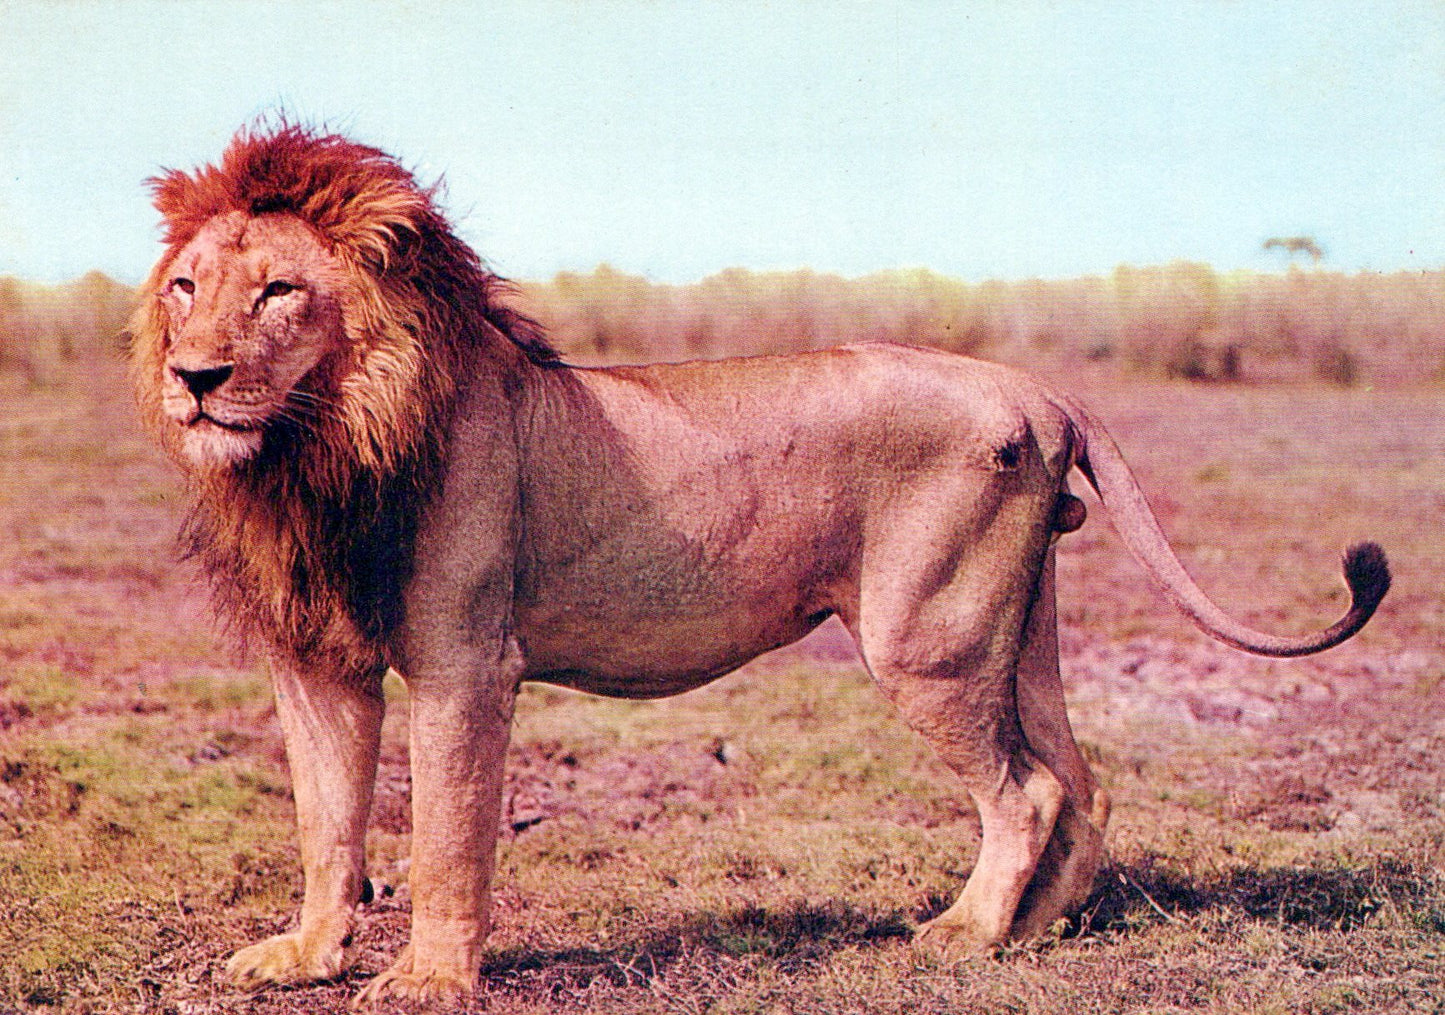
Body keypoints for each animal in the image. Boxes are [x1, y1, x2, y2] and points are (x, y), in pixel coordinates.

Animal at [129, 125, 1389, 1006]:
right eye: (186, 288)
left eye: (278, 291)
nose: (193, 377)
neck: (314, 449)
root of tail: (1035, 387)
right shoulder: (317, 663)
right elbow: (324, 819)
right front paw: (304, 954)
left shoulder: (464, 661)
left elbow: (443, 833)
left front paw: (429, 978)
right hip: (1010, 629)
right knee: (1081, 783)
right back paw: (1030, 936)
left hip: (924, 638)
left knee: (1025, 790)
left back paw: (959, 936)